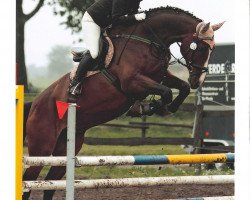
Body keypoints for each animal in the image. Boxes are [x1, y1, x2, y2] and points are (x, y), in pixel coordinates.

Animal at [22, 6, 224, 200]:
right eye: (201, 48)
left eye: (213, 49)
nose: (198, 81)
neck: (148, 40)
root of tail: (35, 104)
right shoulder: (132, 82)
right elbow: (166, 92)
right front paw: (152, 107)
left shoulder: (159, 76)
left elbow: (181, 87)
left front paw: (164, 107)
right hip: (42, 146)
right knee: (28, 182)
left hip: (67, 146)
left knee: (50, 185)